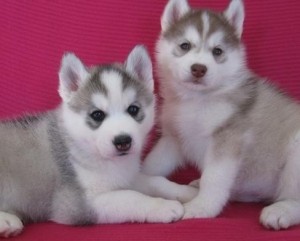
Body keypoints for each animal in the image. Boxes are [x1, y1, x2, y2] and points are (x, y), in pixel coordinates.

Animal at [0, 45, 197, 237]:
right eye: (97, 115)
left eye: (133, 109)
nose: (123, 141)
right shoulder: (78, 203)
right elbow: (130, 197)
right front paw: (163, 206)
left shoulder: (123, 177)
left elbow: (155, 181)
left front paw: (186, 191)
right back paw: (7, 222)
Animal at [142, 0, 300, 231]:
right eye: (185, 45)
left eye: (217, 51)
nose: (199, 69)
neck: (196, 101)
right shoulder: (173, 138)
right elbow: (153, 163)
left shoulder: (227, 138)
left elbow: (214, 178)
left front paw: (202, 207)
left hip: (296, 154)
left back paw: (282, 211)